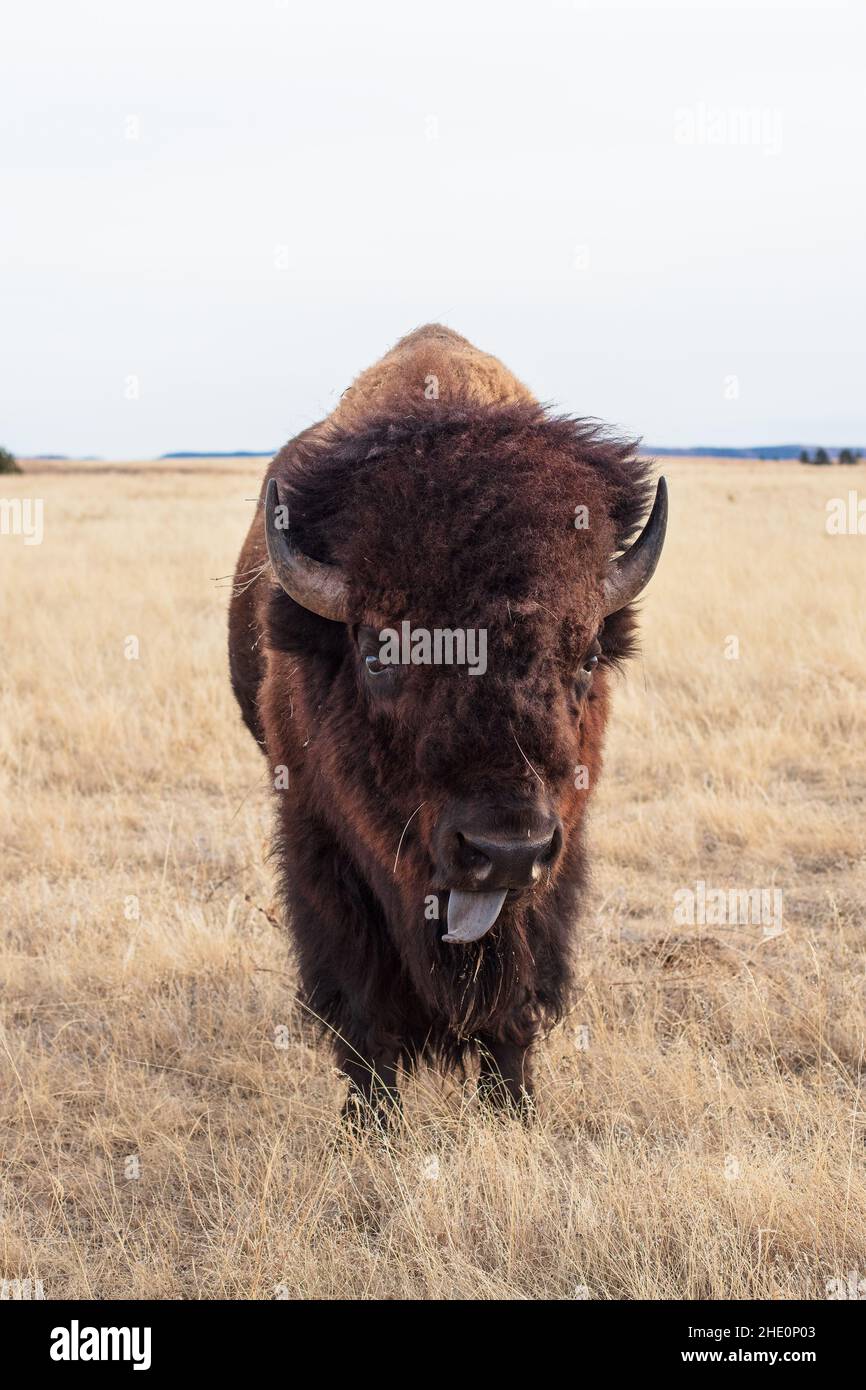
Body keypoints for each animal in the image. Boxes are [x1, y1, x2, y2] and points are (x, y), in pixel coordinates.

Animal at [226, 328, 667, 1128]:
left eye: (588, 655)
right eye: (379, 650)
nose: (505, 849)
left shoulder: (557, 858)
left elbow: (517, 997)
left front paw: (513, 1111)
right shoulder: (317, 841)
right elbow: (363, 1004)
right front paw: (371, 1128)